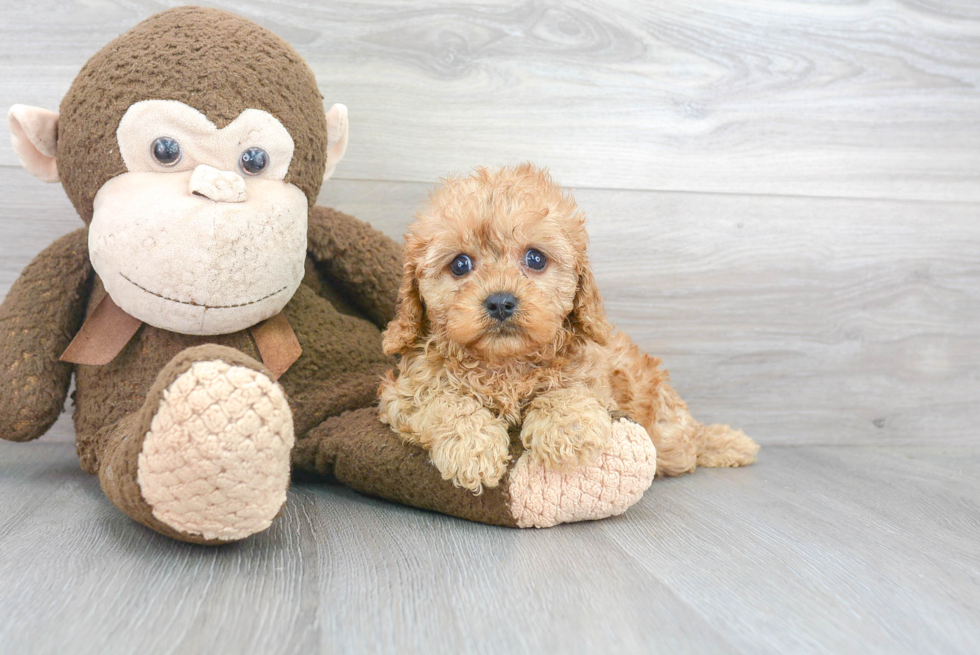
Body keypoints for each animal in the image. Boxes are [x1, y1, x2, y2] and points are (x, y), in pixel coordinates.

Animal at [378, 164, 756, 492]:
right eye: (460, 264)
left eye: (535, 259)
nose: (500, 302)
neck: (505, 364)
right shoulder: (405, 391)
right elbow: (446, 401)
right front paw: (473, 451)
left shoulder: (592, 374)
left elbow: (567, 390)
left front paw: (566, 432)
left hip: (666, 431)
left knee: (690, 443)